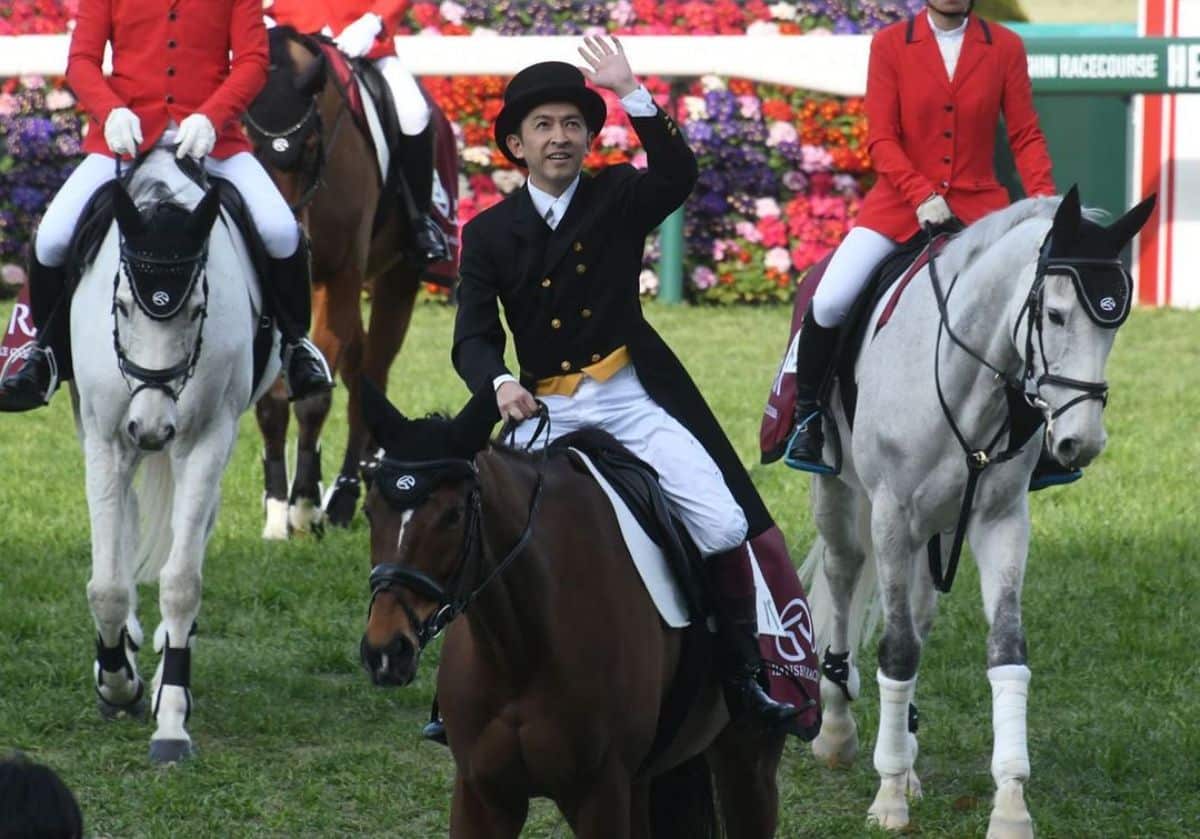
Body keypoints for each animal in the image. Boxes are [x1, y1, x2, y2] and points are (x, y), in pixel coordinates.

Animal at [72, 147, 280, 763]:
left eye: (195, 310)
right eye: (121, 305)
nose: (152, 427)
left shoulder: (207, 437)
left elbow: (182, 579)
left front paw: (170, 718)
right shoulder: (104, 439)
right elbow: (107, 584)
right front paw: (117, 684)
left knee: (195, 529)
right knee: (123, 532)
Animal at [243, 29, 427, 537]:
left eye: (308, 146)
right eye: (242, 144)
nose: (282, 240)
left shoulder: (341, 276)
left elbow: (315, 394)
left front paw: (304, 504)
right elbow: (272, 398)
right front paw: (275, 508)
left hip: (398, 279)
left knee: (371, 371)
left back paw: (345, 493)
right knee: (358, 361)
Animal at [355, 381, 787, 839]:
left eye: (453, 515)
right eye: (369, 511)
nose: (386, 651)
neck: (520, 647)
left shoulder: (600, 793)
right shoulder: (481, 795)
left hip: (747, 761)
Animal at [796, 190, 1152, 839]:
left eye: (1115, 322)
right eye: (1055, 315)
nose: (1082, 443)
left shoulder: (1000, 521)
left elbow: (1005, 651)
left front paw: (1010, 804)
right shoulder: (890, 516)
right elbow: (897, 650)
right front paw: (889, 800)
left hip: (935, 526)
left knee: (916, 614)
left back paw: (907, 754)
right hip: (840, 494)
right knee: (842, 574)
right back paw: (837, 729)